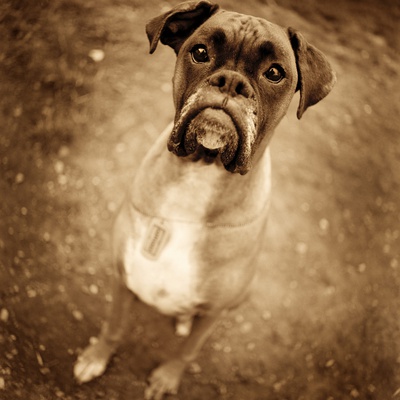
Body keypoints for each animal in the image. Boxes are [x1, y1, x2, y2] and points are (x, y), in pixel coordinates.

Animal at [73, 1, 336, 398]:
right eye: (200, 52)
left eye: (275, 73)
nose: (230, 82)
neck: (200, 173)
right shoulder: (122, 277)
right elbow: (114, 326)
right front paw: (97, 357)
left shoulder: (214, 313)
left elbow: (186, 351)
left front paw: (167, 378)